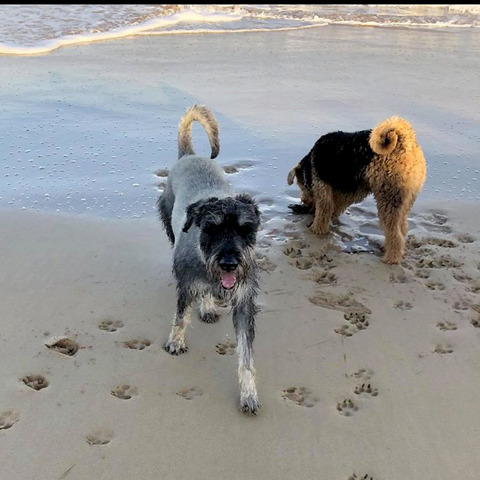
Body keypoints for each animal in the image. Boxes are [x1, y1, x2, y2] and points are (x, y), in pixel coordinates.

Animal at [157, 105, 262, 416]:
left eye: (245, 228)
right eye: (212, 228)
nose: (228, 264)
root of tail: (189, 156)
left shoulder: (243, 303)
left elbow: (246, 356)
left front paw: (249, 394)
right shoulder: (186, 283)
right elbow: (181, 316)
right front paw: (175, 342)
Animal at [288, 117, 428, 266]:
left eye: (300, 185)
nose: (303, 201)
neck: (309, 165)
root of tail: (406, 141)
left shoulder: (322, 185)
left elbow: (324, 211)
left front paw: (316, 229)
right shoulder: (346, 191)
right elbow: (335, 207)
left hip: (388, 197)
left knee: (395, 234)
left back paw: (391, 258)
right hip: (406, 199)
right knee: (402, 228)